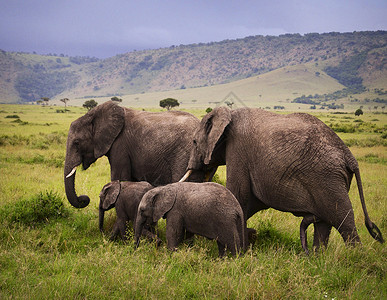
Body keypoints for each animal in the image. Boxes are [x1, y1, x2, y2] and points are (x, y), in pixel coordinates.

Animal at [64, 101, 203, 209]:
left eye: (77, 143)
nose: (84, 198)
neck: (94, 115)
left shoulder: (120, 145)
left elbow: (120, 178)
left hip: (185, 155)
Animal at [180, 106, 384, 252]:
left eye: (194, 142)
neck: (228, 113)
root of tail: (349, 156)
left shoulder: (238, 151)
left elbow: (240, 197)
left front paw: (239, 253)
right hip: (331, 179)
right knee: (324, 223)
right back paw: (318, 259)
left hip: (328, 177)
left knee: (342, 219)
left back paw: (354, 258)